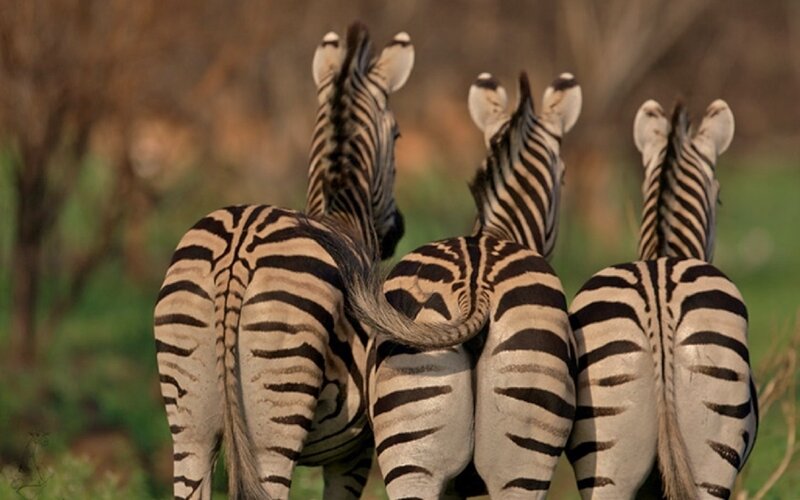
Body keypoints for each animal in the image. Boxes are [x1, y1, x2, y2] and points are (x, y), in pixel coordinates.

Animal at [154, 23, 414, 499]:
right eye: (398, 135)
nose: (397, 231)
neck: (343, 215)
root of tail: (238, 250)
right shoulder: (353, 453)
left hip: (189, 421)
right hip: (273, 425)